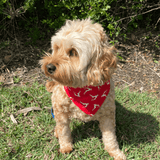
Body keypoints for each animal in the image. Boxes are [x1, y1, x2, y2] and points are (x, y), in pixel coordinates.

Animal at [39, 18, 126, 159]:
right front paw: (65, 146)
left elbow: (110, 137)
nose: (49, 67)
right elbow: (64, 131)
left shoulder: (108, 114)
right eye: (57, 48)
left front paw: (115, 152)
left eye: (73, 52)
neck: (82, 87)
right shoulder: (60, 112)